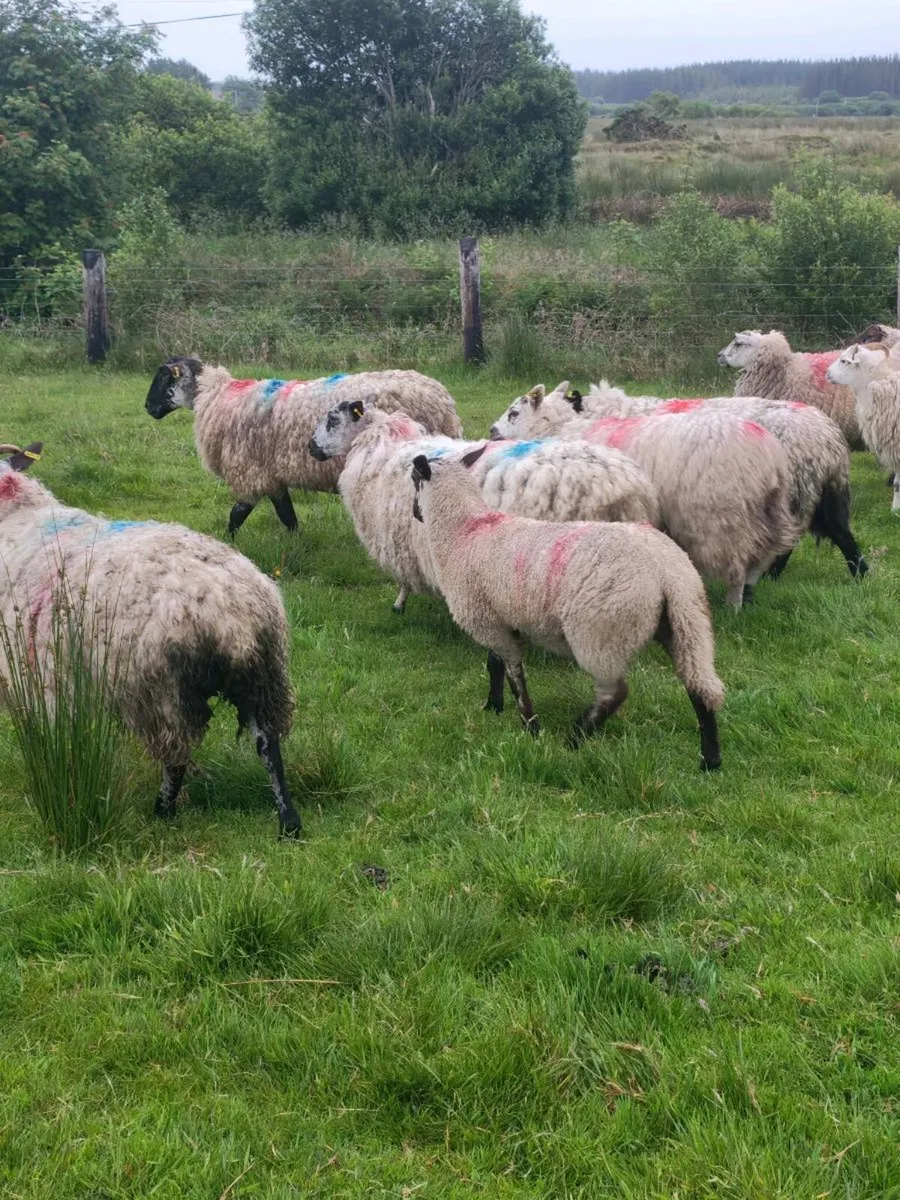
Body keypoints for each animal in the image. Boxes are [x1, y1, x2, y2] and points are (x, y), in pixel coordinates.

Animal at [0, 443, 300, 837]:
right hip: (263, 677)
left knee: (176, 757)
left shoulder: (44, 678)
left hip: (161, 689)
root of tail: (230, 609)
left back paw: (162, 812)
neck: (19, 519)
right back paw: (289, 822)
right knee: (268, 745)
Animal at [144, 358, 463, 537]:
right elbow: (288, 516)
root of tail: (442, 402)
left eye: (163, 377)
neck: (215, 395)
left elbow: (237, 514)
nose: (147, 408)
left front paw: (227, 543)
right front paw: (296, 543)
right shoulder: (271, 474)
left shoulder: (250, 471)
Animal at [307, 402, 660, 614]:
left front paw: (399, 603)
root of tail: (619, 485)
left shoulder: (398, 541)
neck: (386, 445)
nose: (310, 447)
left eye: (332, 419)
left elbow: (403, 579)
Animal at [409, 453, 724, 768]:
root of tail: (666, 570)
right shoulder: (497, 617)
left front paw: (531, 726)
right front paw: (493, 707)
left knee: (614, 693)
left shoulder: (486, 621)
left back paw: (574, 739)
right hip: (688, 622)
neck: (464, 530)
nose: (415, 514)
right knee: (699, 686)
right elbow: (495, 666)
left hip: (601, 631)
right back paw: (710, 760)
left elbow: (515, 676)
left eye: (413, 479)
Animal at [499, 384, 867, 582]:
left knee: (789, 542)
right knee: (841, 533)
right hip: (827, 493)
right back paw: (859, 577)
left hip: (795, 494)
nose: (492, 431)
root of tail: (827, 438)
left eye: (514, 412)